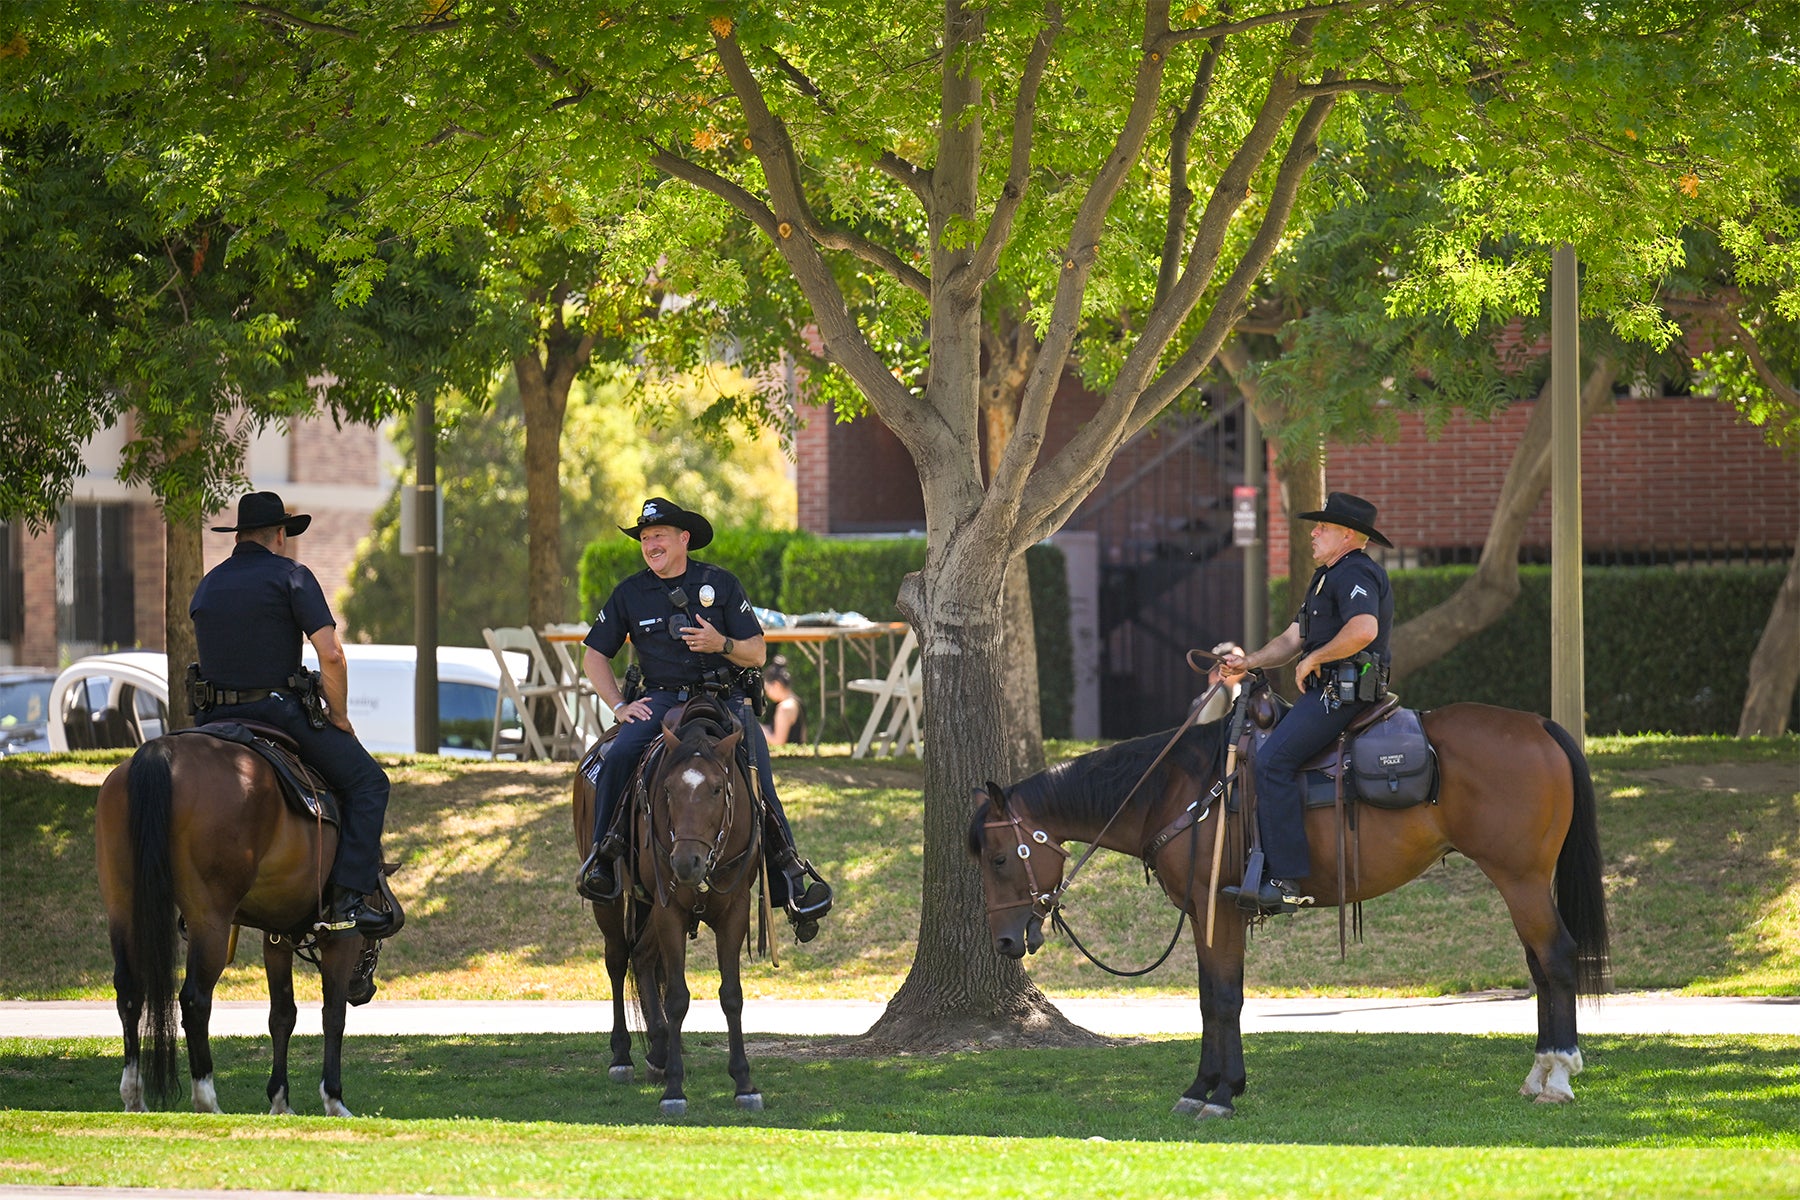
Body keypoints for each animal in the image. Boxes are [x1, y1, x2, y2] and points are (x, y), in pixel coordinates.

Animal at [95, 734, 379, 1115]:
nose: (364, 991)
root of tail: (162, 751)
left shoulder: (277, 936)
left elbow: (282, 1015)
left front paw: (280, 1100)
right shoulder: (341, 937)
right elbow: (332, 1015)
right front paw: (333, 1099)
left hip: (123, 907)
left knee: (129, 991)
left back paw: (134, 1095)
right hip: (209, 919)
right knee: (194, 1000)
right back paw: (206, 1098)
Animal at [572, 698, 763, 1122]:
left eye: (717, 789)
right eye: (669, 790)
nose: (685, 862)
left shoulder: (736, 910)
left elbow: (732, 994)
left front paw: (744, 1083)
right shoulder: (668, 908)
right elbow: (677, 997)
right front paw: (675, 1091)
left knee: (642, 957)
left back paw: (657, 1051)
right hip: (612, 901)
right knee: (617, 959)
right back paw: (623, 1057)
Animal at [979, 690, 1612, 1122]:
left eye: (999, 858)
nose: (1005, 940)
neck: (1183, 792)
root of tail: (1539, 724)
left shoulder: (1220, 910)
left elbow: (1226, 999)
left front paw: (1223, 1092)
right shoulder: (1208, 915)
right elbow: (1209, 999)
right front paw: (1202, 1087)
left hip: (1521, 878)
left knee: (1557, 957)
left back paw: (1560, 1075)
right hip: (1524, 882)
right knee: (1539, 964)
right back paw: (1538, 1073)